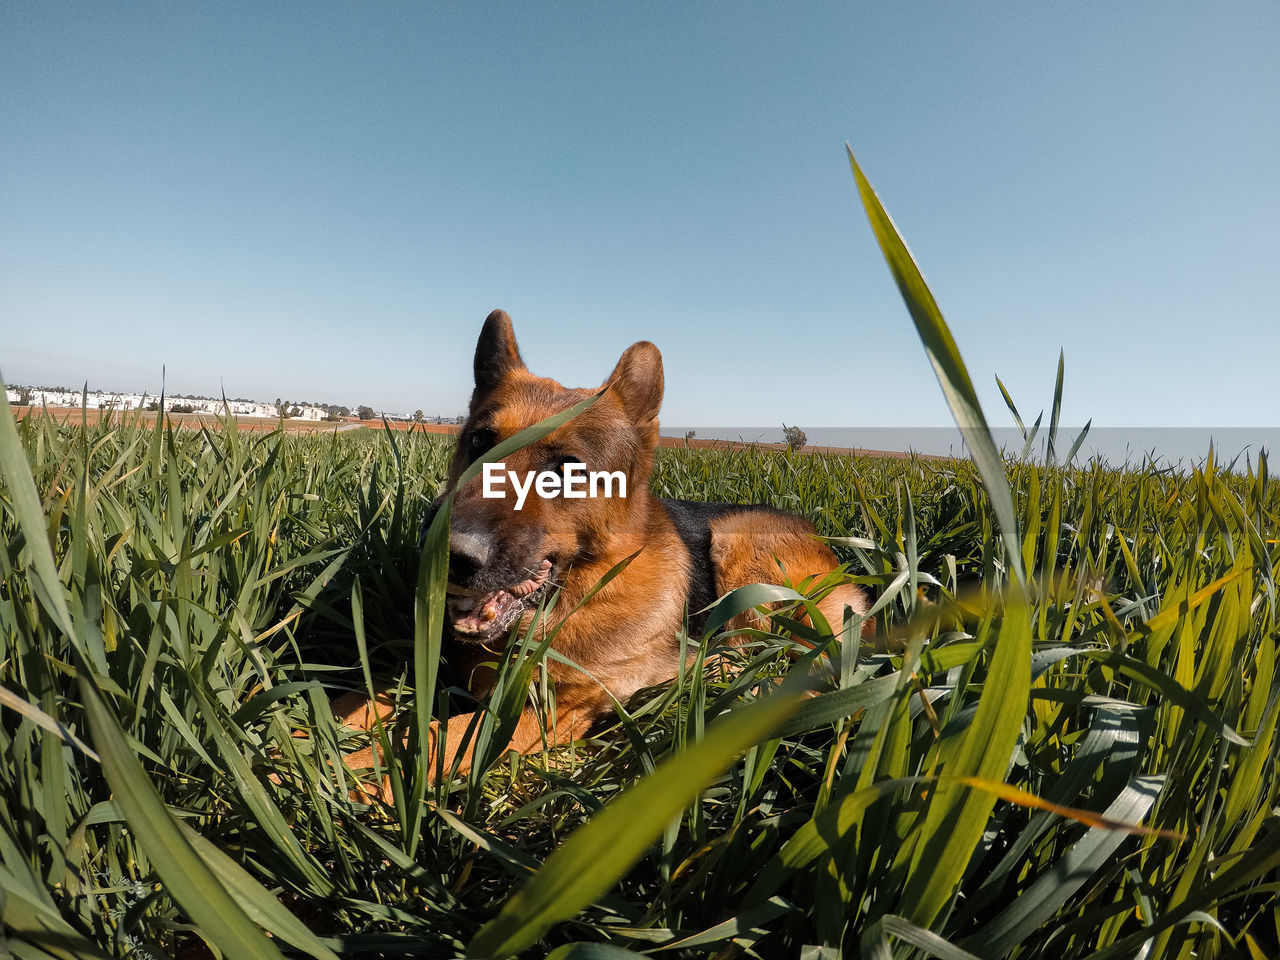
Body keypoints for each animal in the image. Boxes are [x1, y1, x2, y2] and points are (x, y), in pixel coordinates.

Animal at [332, 312, 870, 793]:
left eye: (567, 471)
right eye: (481, 441)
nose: (450, 554)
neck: (571, 600)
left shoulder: (534, 717)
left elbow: (424, 741)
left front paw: (332, 776)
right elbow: (363, 701)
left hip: (737, 549)